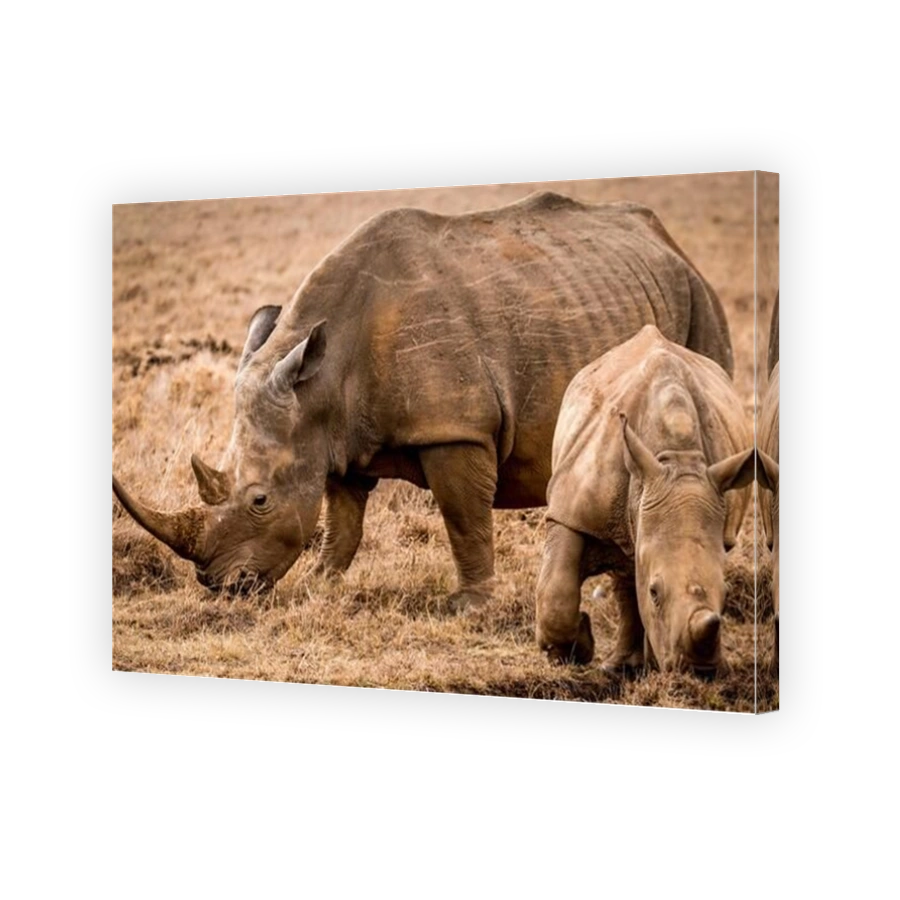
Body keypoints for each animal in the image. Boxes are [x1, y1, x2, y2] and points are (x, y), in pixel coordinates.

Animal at [113, 192, 734, 606]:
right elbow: (342, 520)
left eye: (260, 500)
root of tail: (667, 241)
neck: (323, 380)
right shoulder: (336, 435)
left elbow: (463, 517)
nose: (222, 587)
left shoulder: (455, 426)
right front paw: (322, 584)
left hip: (700, 299)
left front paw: (470, 606)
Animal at [536, 325, 756, 673]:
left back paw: (627, 666)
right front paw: (571, 652)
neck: (677, 458)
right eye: (654, 592)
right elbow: (557, 589)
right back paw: (618, 667)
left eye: (727, 594)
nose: (699, 670)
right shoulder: (573, 509)